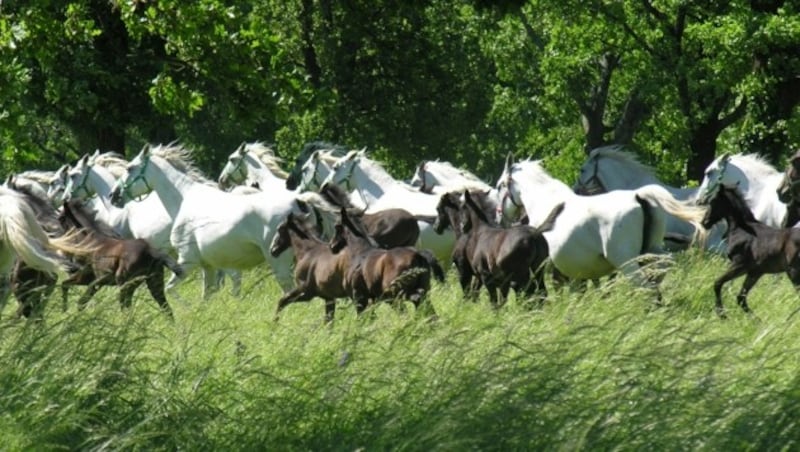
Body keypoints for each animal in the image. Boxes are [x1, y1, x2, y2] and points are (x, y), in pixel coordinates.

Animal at [109, 142, 328, 296]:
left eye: (129, 168)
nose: (113, 195)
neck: (184, 199)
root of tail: (300, 202)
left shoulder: (187, 262)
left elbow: (171, 290)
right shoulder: (209, 267)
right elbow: (207, 295)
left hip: (280, 264)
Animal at [494, 154, 708, 290]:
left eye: (499, 186)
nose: (499, 218)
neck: (546, 204)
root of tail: (639, 197)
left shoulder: (553, 269)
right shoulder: (574, 273)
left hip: (628, 263)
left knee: (646, 286)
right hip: (652, 252)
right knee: (661, 271)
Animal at [696, 184, 800, 318]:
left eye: (713, 201)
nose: (704, 222)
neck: (741, 229)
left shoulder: (739, 265)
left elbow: (717, 283)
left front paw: (722, 314)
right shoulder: (755, 272)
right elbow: (741, 298)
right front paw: (758, 320)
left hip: (793, 272)